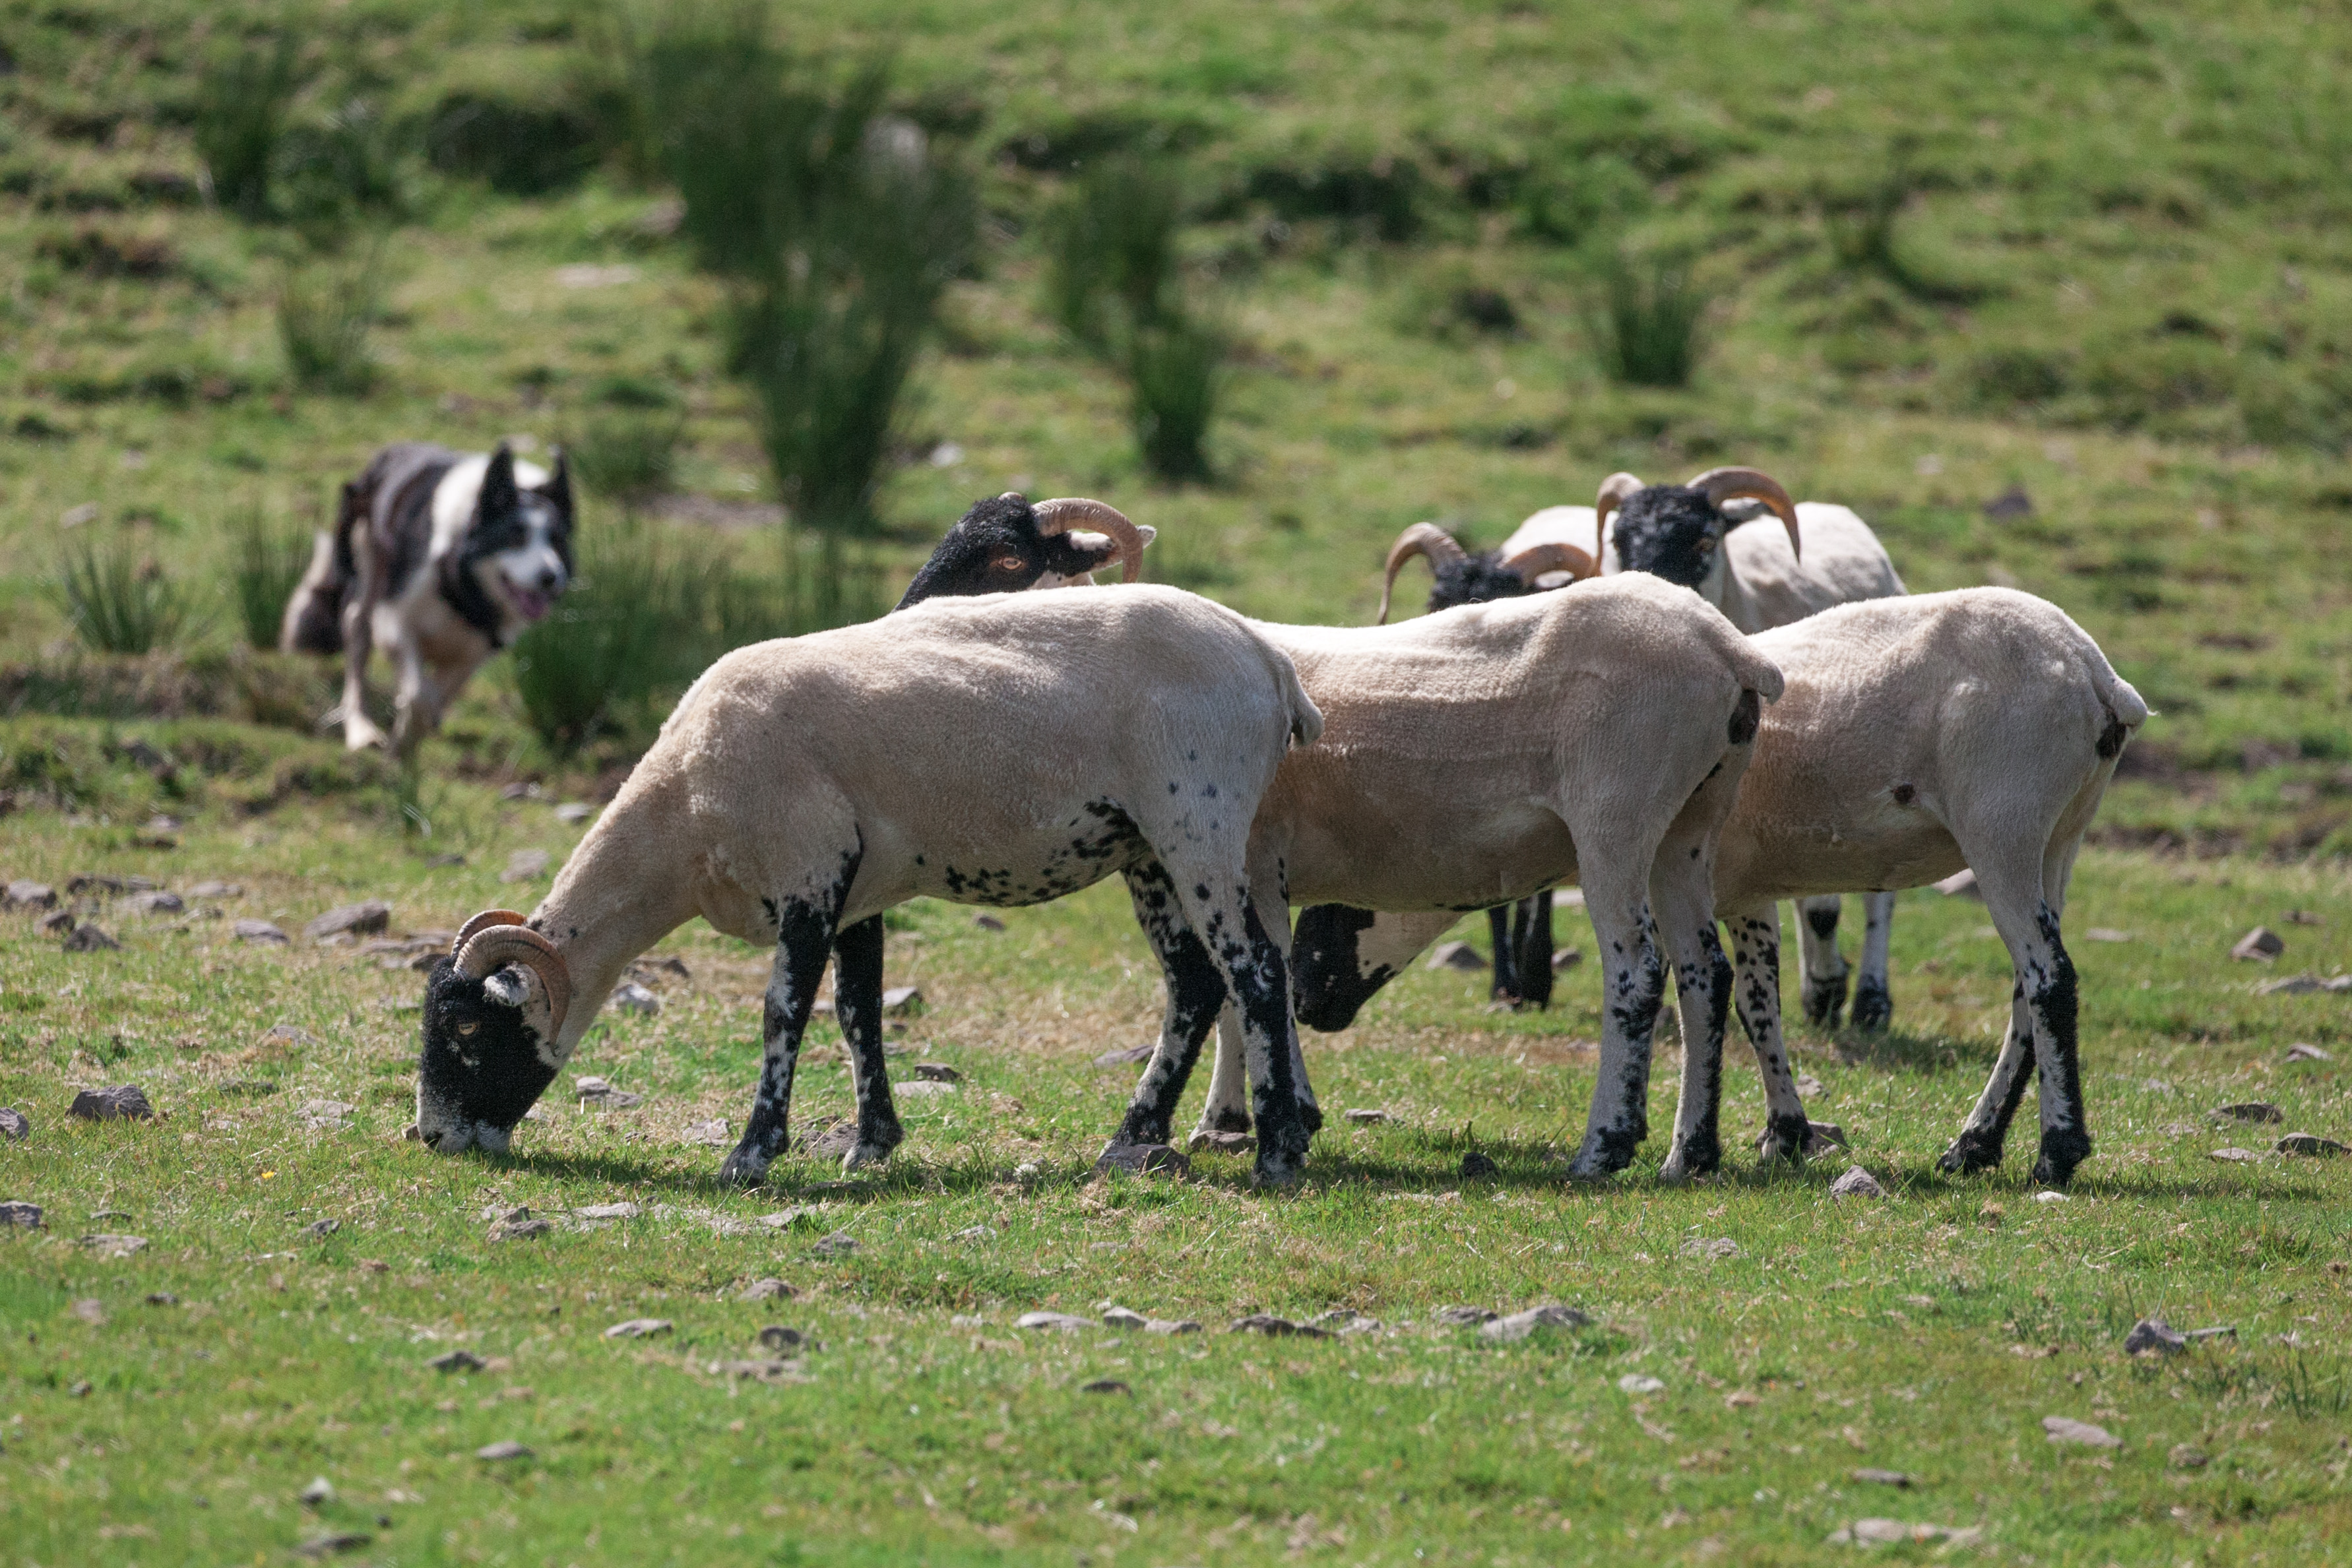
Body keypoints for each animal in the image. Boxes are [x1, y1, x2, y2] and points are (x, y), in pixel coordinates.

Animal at [413, 581, 1328, 1187]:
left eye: (466, 1029)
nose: (429, 1138)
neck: (684, 815)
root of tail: (1268, 660)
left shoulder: (810, 872)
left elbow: (784, 1013)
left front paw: (751, 1154)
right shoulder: (854, 894)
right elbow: (858, 1014)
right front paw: (871, 1143)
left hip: (1197, 822)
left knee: (1253, 970)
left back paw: (1277, 1152)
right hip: (1145, 849)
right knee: (1195, 984)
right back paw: (1131, 1136)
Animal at [1114, 572, 1786, 1178]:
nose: (1313, 1003)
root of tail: (1729, 648)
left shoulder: (1249, 850)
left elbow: (1247, 978)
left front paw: (1251, 1117)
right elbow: (1250, 980)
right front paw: (1244, 1117)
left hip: (1617, 814)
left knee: (1638, 971)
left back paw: (1602, 1148)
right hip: (1691, 826)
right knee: (1705, 974)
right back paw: (1690, 1155)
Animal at [1288, 588, 2146, 1186]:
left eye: (1338, 907)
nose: (1303, 1001)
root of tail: (2096, 675)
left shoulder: (1727, 875)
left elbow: (1738, 1001)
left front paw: (1762, 1132)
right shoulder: (1741, 889)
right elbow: (1754, 1001)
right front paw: (1782, 1131)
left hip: (2003, 821)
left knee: (2048, 978)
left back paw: (2053, 1152)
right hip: (2060, 835)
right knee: (2026, 993)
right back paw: (1975, 1145)